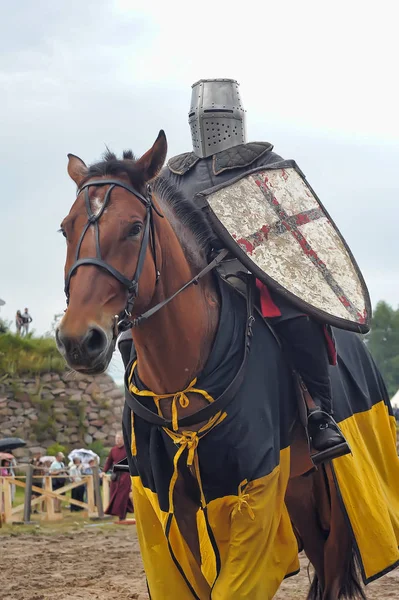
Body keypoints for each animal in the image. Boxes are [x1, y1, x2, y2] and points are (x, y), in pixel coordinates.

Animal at [57, 132, 399, 600]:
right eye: (66, 228)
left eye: (134, 228)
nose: (78, 340)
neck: (179, 387)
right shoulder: (168, 511)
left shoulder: (253, 496)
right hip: (301, 494)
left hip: (344, 495)